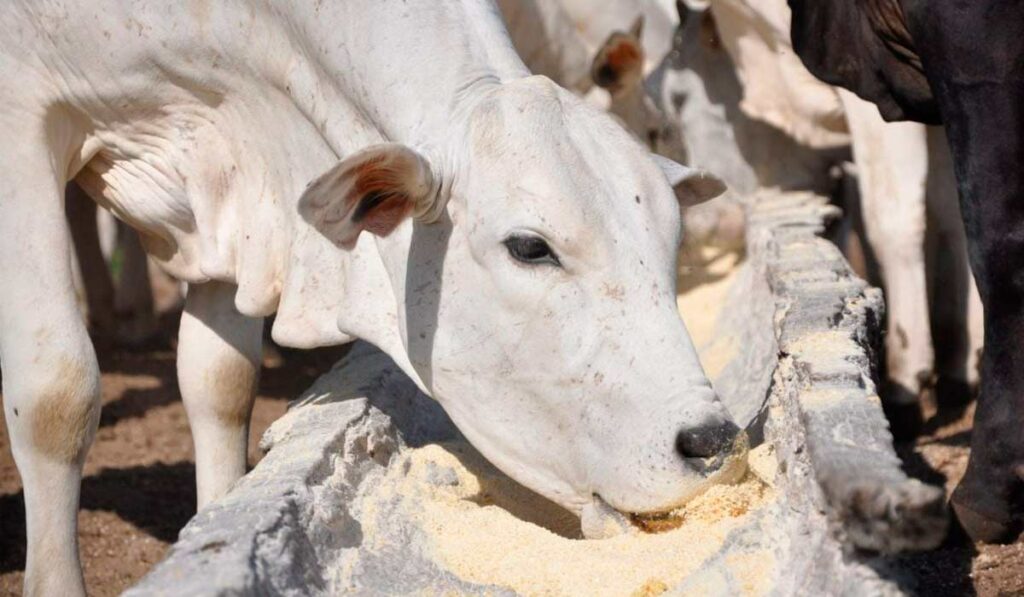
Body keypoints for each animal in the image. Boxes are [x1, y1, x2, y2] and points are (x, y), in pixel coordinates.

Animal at [0, 2, 741, 593]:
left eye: (670, 237)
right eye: (530, 247)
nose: (711, 441)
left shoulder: (228, 185)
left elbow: (220, 383)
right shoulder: (20, 116)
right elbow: (57, 396)